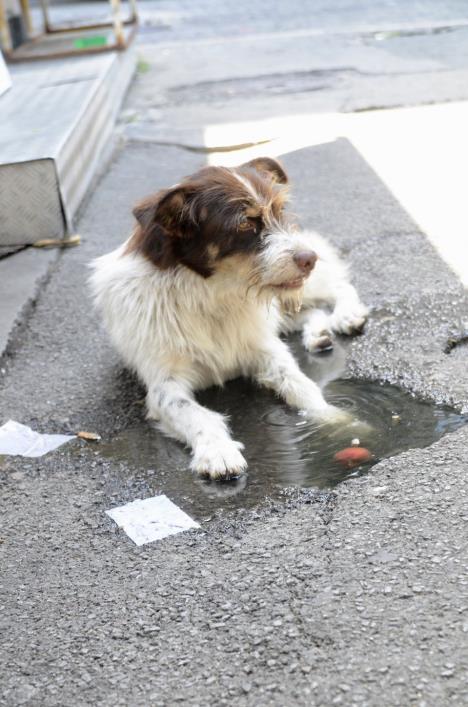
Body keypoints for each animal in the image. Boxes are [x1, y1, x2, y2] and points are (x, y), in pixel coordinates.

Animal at [90, 159, 370, 482]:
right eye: (245, 223)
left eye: (280, 210)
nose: (309, 259)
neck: (215, 295)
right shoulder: (164, 383)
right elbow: (195, 414)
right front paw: (218, 451)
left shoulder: (264, 348)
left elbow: (302, 385)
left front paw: (338, 420)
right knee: (311, 311)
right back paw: (318, 334)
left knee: (338, 286)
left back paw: (347, 315)